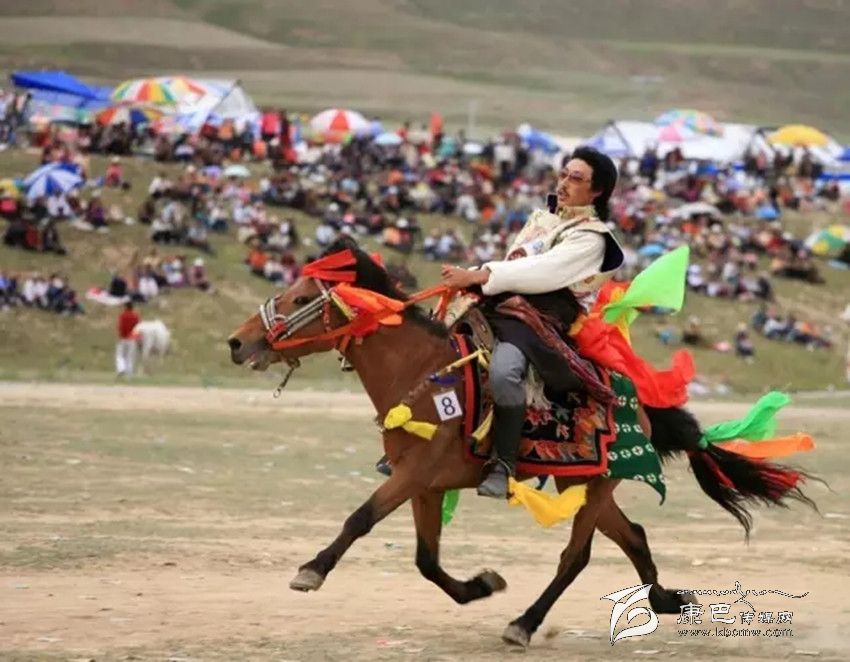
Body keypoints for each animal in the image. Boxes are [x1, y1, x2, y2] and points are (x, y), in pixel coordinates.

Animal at [227, 238, 815, 649]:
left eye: (303, 298)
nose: (237, 342)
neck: (420, 373)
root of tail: (641, 400)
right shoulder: (425, 485)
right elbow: (425, 560)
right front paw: (483, 584)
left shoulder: (414, 475)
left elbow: (360, 519)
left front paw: (311, 572)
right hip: (585, 481)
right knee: (635, 535)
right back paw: (666, 599)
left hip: (598, 484)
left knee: (577, 556)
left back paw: (525, 624)